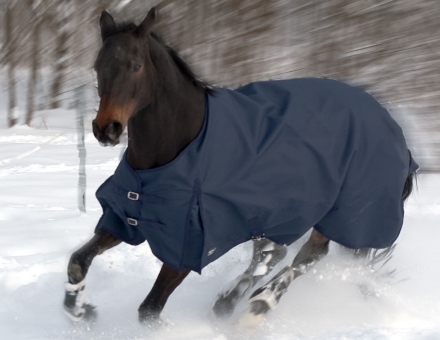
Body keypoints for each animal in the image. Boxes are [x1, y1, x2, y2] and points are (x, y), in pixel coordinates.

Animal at [63, 7, 418, 326]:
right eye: (98, 66)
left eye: (135, 66)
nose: (106, 129)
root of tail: (395, 130)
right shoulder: (126, 219)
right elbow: (77, 262)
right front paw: (83, 311)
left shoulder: (189, 247)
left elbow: (149, 310)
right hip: (275, 214)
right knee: (273, 255)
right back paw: (228, 302)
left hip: (343, 214)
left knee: (309, 256)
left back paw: (257, 307)